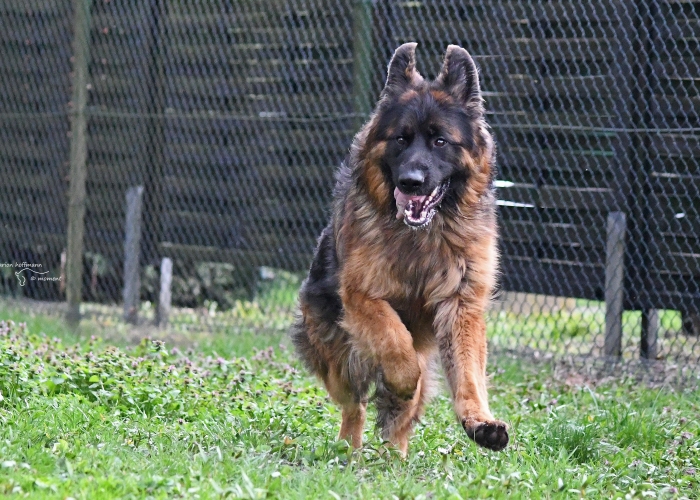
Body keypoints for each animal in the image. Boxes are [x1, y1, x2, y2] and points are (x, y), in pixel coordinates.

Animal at [292, 44, 508, 458]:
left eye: (440, 141)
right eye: (401, 140)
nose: (411, 182)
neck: (422, 237)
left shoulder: (462, 304)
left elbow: (468, 373)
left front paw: (480, 422)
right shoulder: (361, 296)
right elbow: (396, 344)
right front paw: (402, 381)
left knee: (400, 421)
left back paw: (395, 456)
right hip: (336, 353)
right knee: (355, 402)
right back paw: (351, 446)